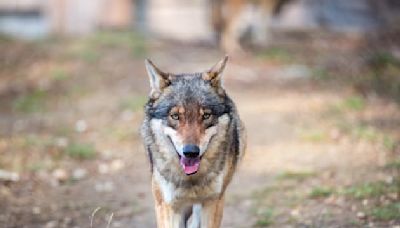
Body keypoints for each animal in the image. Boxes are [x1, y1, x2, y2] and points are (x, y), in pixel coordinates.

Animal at [141, 55, 247, 228]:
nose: (191, 152)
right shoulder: (167, 205)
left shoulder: (213, 202)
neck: (190, 179)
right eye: (175, 116)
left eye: (206, 116)